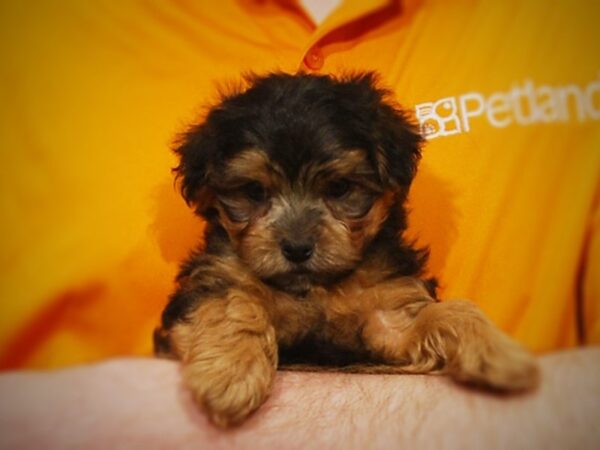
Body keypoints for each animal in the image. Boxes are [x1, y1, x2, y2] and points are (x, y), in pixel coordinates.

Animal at [155, 72, 540, 428]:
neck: (316, 287)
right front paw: (230, 374)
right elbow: (232, 301)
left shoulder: (389, 315)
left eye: (340, 187)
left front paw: (498, 350)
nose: (297, 248)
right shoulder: (212, 278)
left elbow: (445, 313)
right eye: (253, 191)